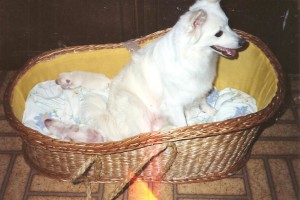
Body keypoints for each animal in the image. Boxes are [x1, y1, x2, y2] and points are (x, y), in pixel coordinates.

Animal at [44, 0, 246, 144]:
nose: (243, 42)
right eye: (218, 33)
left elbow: (203, 100)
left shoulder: (200, 87)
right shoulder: (174, 103)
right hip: (137, 109)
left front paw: (211, 111)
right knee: (145, 133)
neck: (195, 56)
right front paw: (186, 132)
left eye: (229, 25)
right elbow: (183, 124)